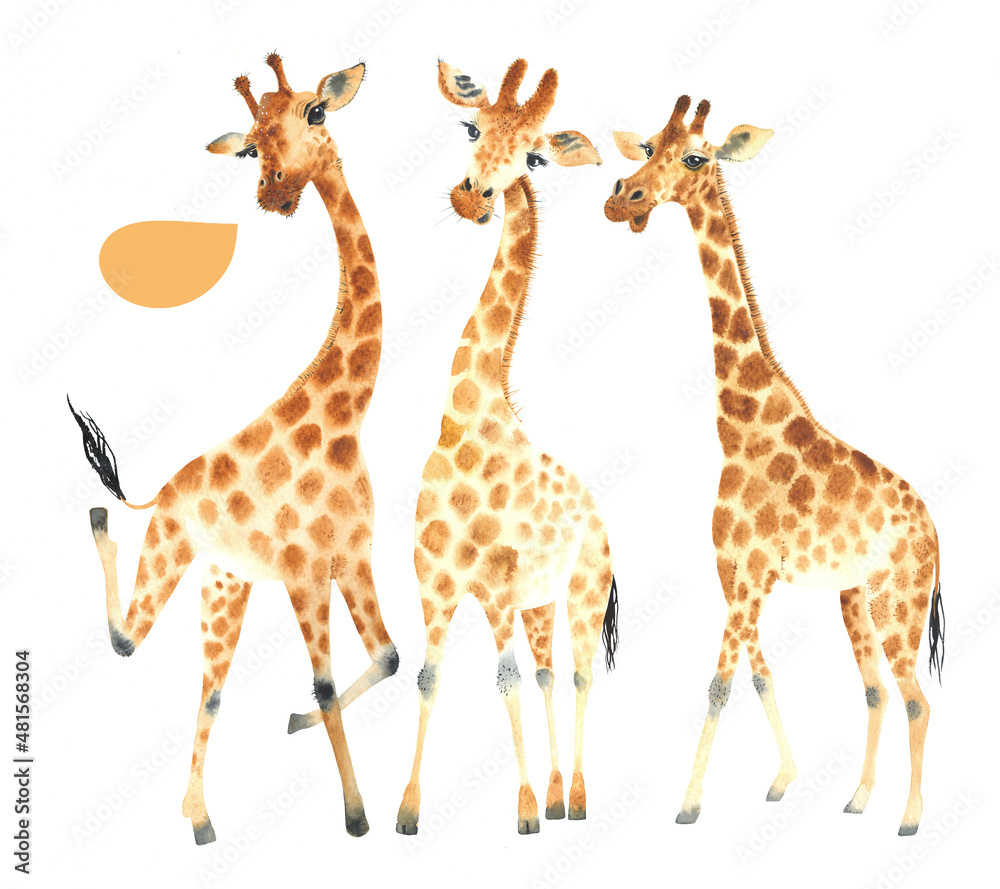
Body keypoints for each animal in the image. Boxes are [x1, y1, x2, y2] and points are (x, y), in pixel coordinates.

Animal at [67, 53, 398, 844]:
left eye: (317, 111)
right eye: (248, 147)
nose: (274, 192)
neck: (347, 414)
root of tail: (161, 491)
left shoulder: (353, 558)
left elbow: (389, 659)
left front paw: (296, 723)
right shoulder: (306, 572)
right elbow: (328, 682)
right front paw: (355, 815)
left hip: (225, 583)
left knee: (205, 689)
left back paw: (199, 818)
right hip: (175, 550)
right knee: (127, 640)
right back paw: (100, 517)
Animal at [392, 58, 616, 837]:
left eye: (536, 157)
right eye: (472, 126)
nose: (473, 198)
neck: (466, 418)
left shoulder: (491, 585)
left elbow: (505, 677)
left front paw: (521, 812)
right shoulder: (433, 581)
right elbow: (431, 675)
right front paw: (407, 810)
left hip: (583, 590)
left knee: (579, 672)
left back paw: (574, 798)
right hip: (540, 601)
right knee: (550, 671)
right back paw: (556, 795)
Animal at [604, 96, 944, 836]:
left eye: (694, 156)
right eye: (647, 145)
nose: (622, 198)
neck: (740, 428)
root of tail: (936, 530)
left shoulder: (754, 572)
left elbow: (718, 681)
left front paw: (689, 803)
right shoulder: (735, 572)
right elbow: (756, 673)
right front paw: (784, 779)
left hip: (899, 599)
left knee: (916, 697)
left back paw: (908, 818)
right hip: (854, 599)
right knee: (876, 690)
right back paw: (857, 798)